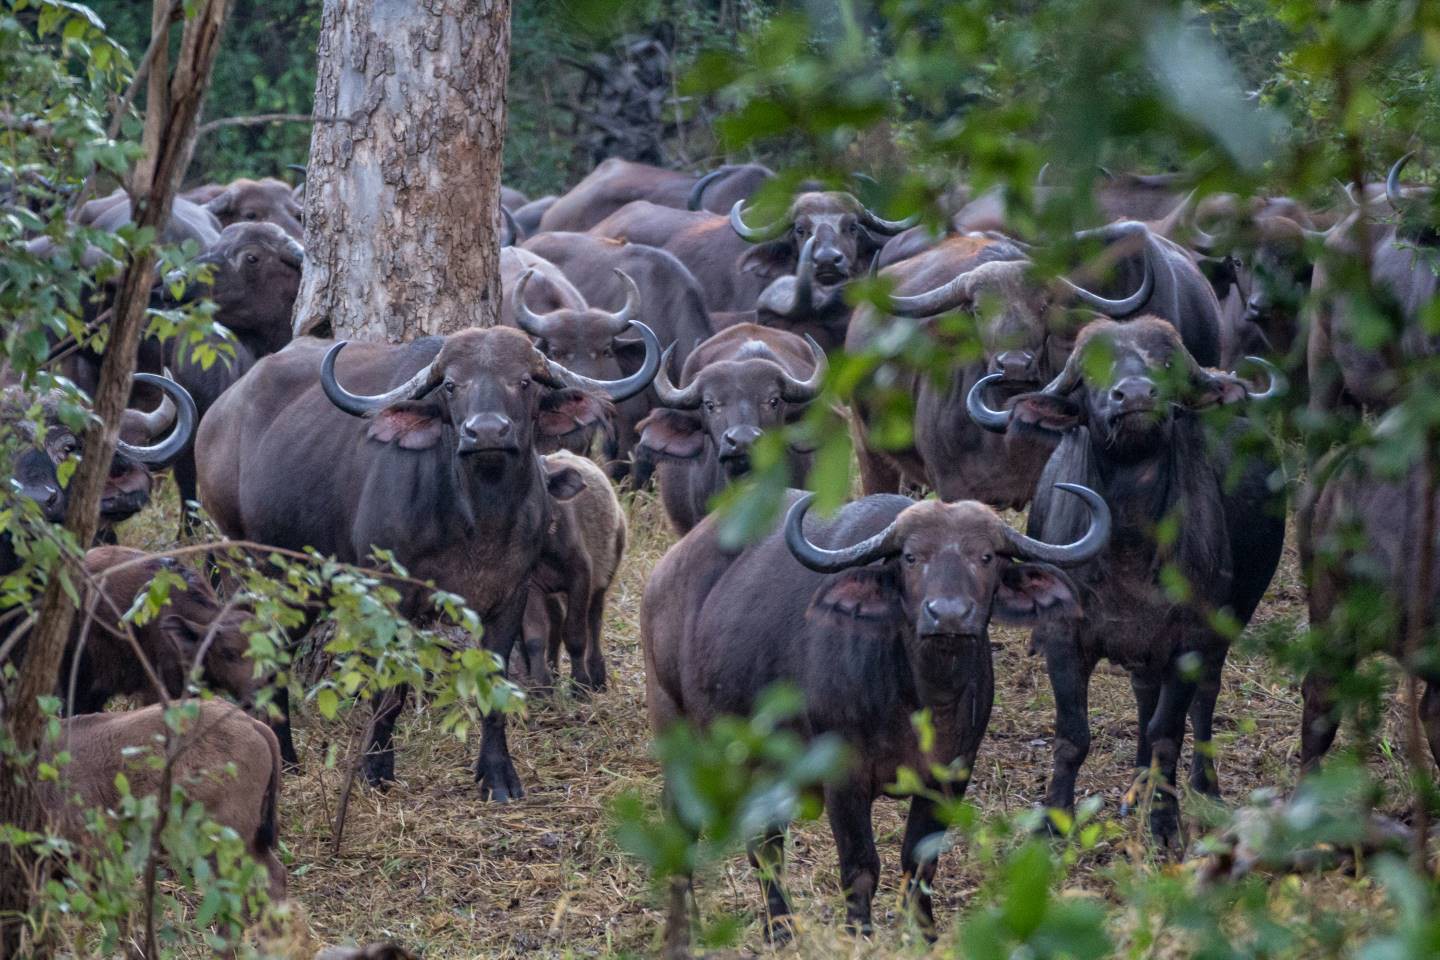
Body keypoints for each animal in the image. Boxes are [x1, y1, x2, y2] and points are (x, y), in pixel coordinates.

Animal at [195, 320, 659, 794]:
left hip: (304, 585)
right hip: (243, 564)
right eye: (451, 385)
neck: (477, 517)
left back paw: (285, 755)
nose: (486, 432)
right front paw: (376, 769)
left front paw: (498, 775)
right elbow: (390, 691)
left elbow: (495, 684)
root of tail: (217, 416)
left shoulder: (512, 593)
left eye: (524, 381)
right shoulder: (390, 595)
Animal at [648, 489, 1105, 938]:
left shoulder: (951, 775)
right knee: (682, 825)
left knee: (765, 844)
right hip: (677, 728)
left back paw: (780, 929)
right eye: (911, 557)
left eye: (987, 556)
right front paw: (859, 935)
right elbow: (861, 867)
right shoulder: (843, 777)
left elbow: (920, 862)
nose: (948, 614)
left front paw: (921, 935)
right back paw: (689, 927)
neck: (920, 698)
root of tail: (667, 570)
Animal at [973, 315, 1290, 846]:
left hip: (1228, 622)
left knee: (1203, 700)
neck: (1128, 543)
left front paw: (1164, 821)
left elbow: (1169, 732)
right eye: (1090, 369)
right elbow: (1073, 734)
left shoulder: (1190, 639)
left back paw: (1203, 790)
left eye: (1166, 362)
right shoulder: (1063, 637)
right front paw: (1053, 821)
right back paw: (1136, 789)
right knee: (1145, 695)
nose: (1137, 395)